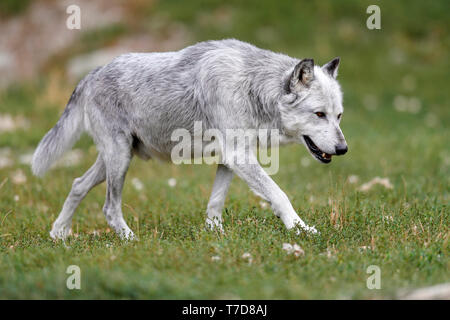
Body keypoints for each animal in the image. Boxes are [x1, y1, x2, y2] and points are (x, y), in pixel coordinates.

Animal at [31, 38, 348, 239]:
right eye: (319, 114)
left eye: (339, 116)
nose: (344, 148)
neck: (252, 86)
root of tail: (93, 73)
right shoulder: (239, 157)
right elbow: (279, 195)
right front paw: (301, 230)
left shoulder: (230, 159)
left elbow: (215, 203)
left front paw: (215, 235)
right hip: (119, 161)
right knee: (109, 207)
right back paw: (130, 240)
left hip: (114, 160)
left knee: (77, 185)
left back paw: (58, 234)